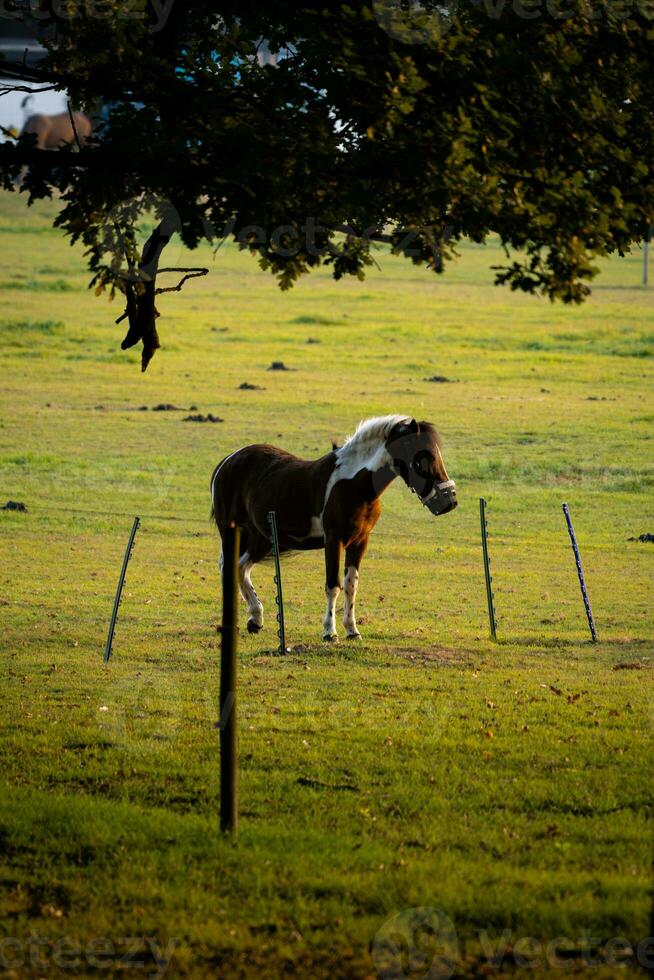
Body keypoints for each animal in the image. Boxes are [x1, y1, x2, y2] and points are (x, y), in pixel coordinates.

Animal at [213, 416, 458, 640]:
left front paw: (352, 630)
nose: (449, 501)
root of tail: (227, 461)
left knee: (240, 567)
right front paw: (330, 632)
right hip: (234, 532)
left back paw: (255, 619)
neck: (355, 484)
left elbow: (351, 585)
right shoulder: (333, 540)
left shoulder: (360, 542)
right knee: (230, 567)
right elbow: (333, 585)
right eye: (423, 458)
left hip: (261, 538)